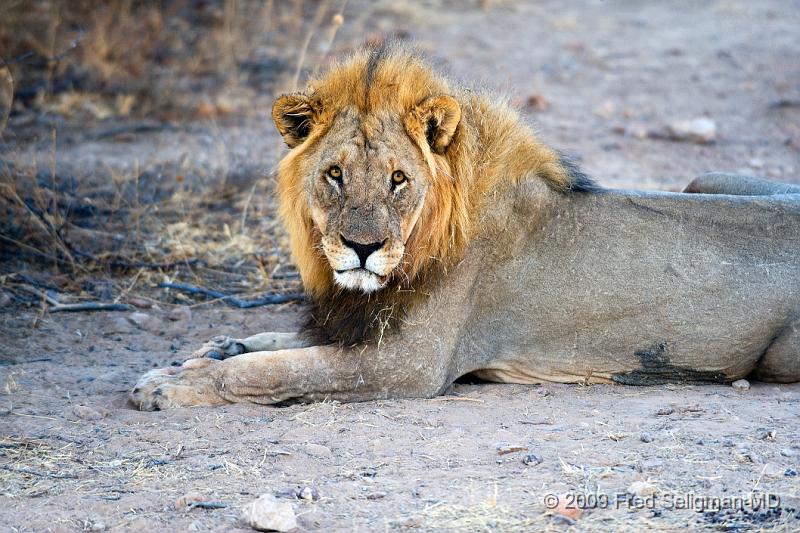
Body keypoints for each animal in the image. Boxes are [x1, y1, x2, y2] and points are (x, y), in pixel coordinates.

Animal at [128, 46, 796, 412]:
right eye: (335, 174)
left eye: (398, 179)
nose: (362, 248)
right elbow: (272, 344)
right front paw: (205, 352)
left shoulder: (410, 363)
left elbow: (276, 370)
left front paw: (172, 385)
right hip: (703, 177)